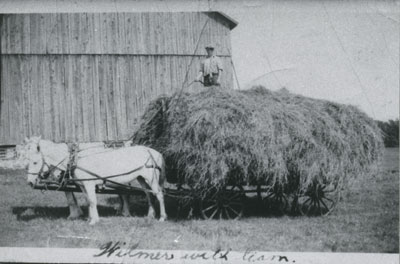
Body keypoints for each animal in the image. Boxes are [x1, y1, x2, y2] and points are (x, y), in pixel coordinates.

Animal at [23, 136, 167, 225]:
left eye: (35, 162)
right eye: (27, 160)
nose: (29, 182)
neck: (74, 159)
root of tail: (154, 152)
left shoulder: (89, 183)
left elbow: (92, 201)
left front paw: (94, 221)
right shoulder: (82, 185)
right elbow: (88, 201)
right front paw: (90, 218)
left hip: (151, 178)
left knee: (159, 195)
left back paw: (162, 217)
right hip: (141, 178)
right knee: (149, 195)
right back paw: (150, 215)